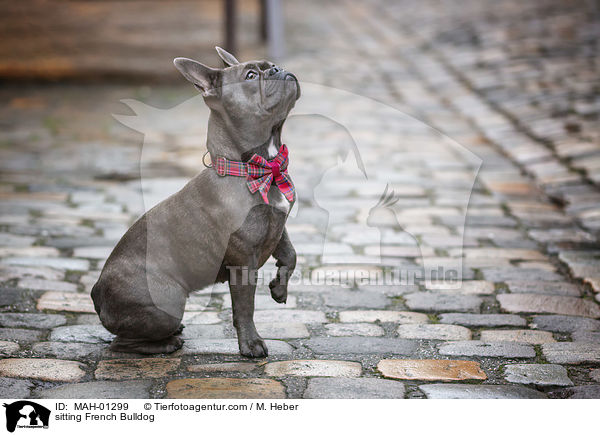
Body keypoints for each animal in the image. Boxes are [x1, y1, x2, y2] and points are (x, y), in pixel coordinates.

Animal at [91, 47, 300, 360]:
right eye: (251, 75)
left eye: (269, 65)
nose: (276, 68)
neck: (255, 168)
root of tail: (96, 293)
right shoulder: (243, 262)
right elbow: (245, 308)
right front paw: (251, 345)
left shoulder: (278, 224)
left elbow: (290, 255)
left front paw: (279, 289)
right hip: (168, 303)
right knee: (120, 343)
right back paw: (167, 343)